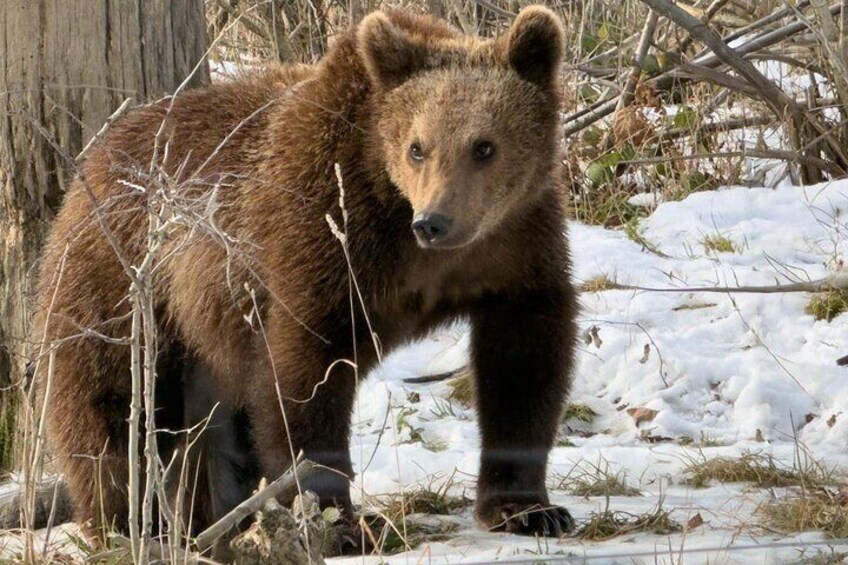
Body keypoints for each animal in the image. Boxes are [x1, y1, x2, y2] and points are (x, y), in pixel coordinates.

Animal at [34, 5, 578, 540]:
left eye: (484, 146)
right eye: (417, 147)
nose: (434, 221)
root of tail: (93, 160)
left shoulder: (514, 251)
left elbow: (524, 364)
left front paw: (528, 508)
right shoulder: (324, 236)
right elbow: (305, 374)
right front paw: (338, 517)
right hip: (123, 283)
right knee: (114, 399)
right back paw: (125, 519)